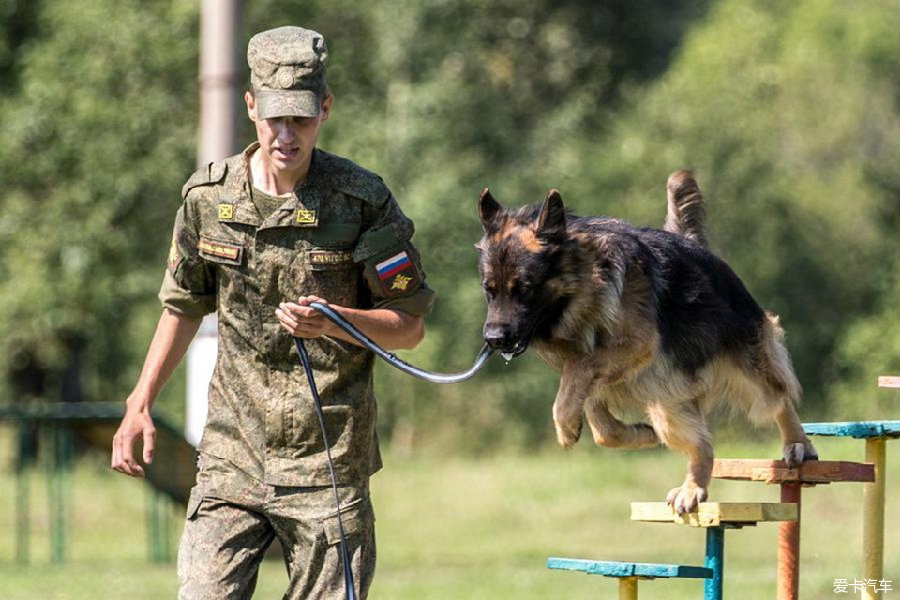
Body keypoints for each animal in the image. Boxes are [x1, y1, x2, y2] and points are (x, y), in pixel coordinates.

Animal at [474, 171, 820, 512]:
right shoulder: (600, 379)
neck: (583, 290)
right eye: (489, 290)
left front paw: (565, 425)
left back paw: (797, 443)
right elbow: (601, 425)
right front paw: (635, 432)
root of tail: (693, 244)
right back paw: (692, 486)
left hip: (745, 365)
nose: (493, 339)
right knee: (702, 445)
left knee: (777, 398)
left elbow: (578, 369)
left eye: (524, 289)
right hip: (668, 403)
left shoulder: (634, 345)